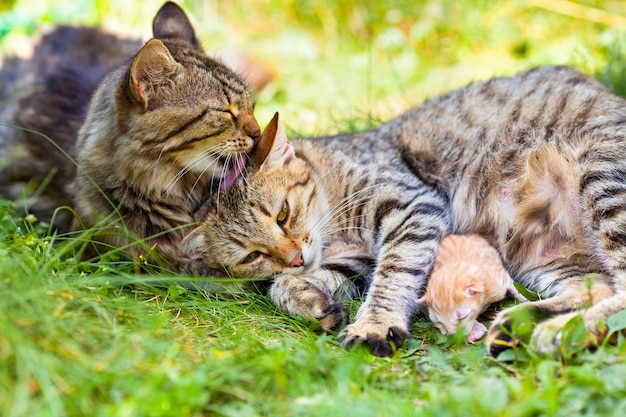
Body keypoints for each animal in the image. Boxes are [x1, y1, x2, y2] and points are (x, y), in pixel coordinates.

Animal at [182, 65, 624, 358]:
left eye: (283, 214)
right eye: (252, 256)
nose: (293, 257)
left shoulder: (413, 207)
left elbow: (393, 274)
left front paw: (375, 323)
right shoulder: (355, 258)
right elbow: (284, 285)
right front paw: (312, 302)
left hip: (602, 181)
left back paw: (558, 332)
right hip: (551, 261)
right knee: (598, 287)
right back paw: (524, 324)